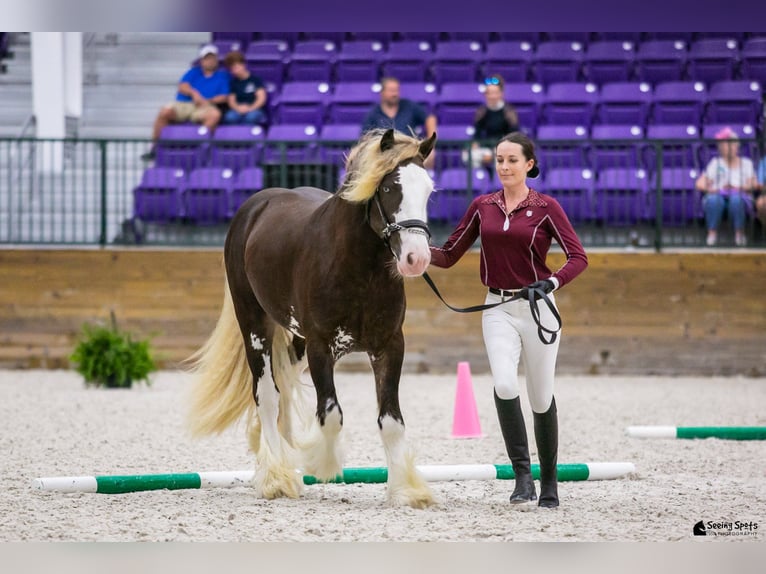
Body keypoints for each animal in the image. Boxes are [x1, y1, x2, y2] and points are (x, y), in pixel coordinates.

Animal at [186, 129, 438, 508]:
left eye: (428, 189)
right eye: (389, 188)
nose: (416, 258)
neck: (357, 269)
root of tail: (256, 206)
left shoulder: (389, 345)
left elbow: (391, 420)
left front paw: (406, 491)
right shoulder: (322, 346)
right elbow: (331, 415)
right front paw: (321, 466)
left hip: (296, 341)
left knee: (283, 388)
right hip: (255, 325)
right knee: (268, 394)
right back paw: (275, 479)